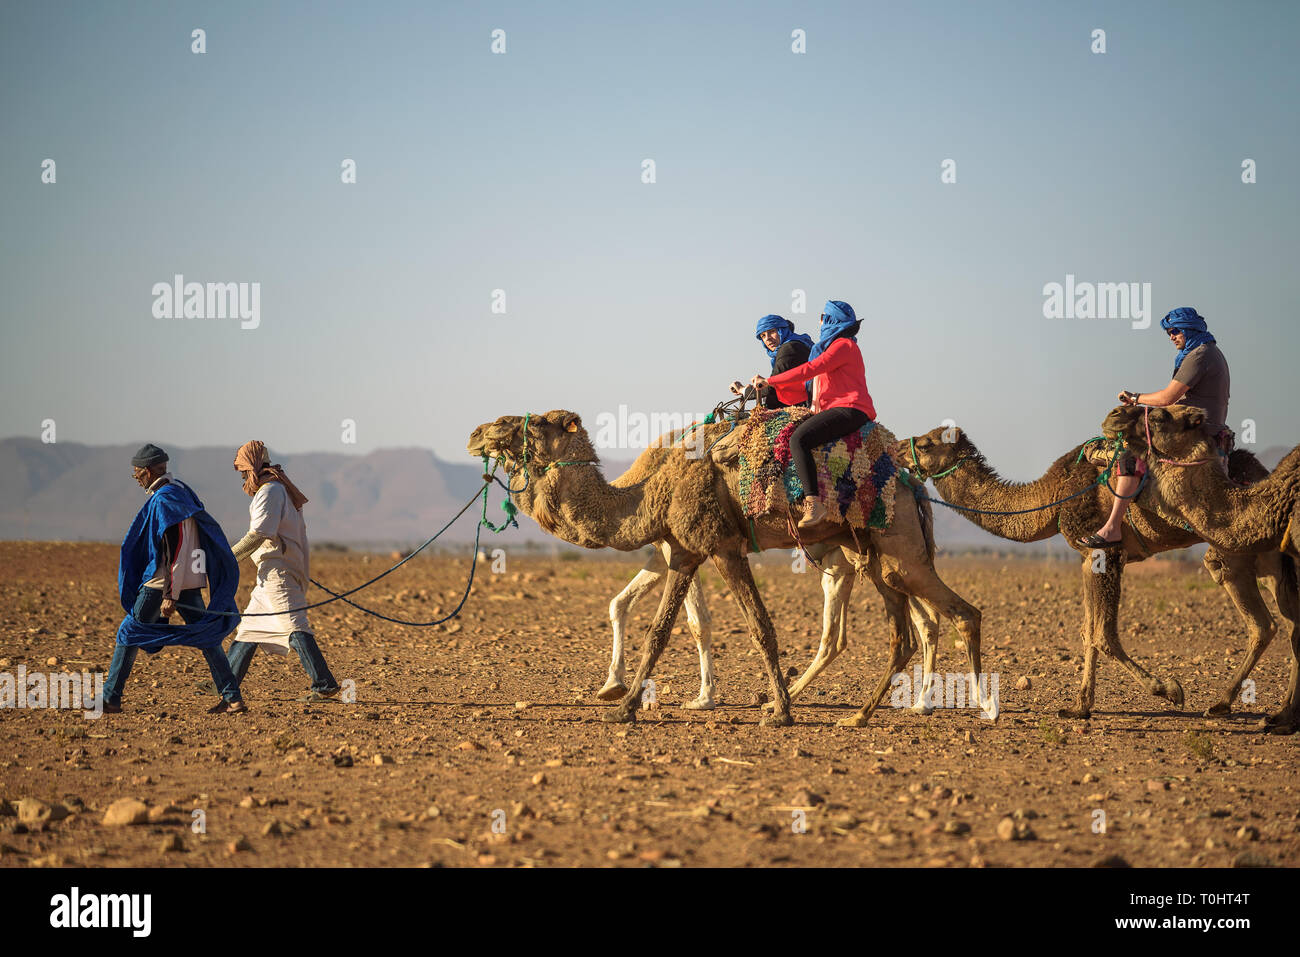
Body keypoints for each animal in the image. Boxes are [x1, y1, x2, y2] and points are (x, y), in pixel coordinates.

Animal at [467, 408, 982, 728]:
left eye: (534, 422)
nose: (477, 433)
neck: (649, 490)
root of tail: (910, 481)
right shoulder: (683, 550)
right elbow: (662, 630)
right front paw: (626, 703)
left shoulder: (718, 547)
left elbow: (755, 627)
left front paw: (780, 712)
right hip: (873, 555)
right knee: (905, 632)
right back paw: (859, 715)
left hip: (898, 548)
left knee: (961, 613)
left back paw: (978, 706)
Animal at [899, 423, 1294, 717]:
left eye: (926, 442)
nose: (900, 448)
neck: (1052, 496)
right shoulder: (1087, 557)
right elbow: (1088, 632)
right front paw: (1079, 708)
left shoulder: (1105, 550)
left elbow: (1103, 634)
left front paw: (1169, 690)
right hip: (1264, 556)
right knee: (1283, 622)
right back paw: (1259, 710)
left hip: (1233, 549)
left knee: (1263, 620)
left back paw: (1240, 706)